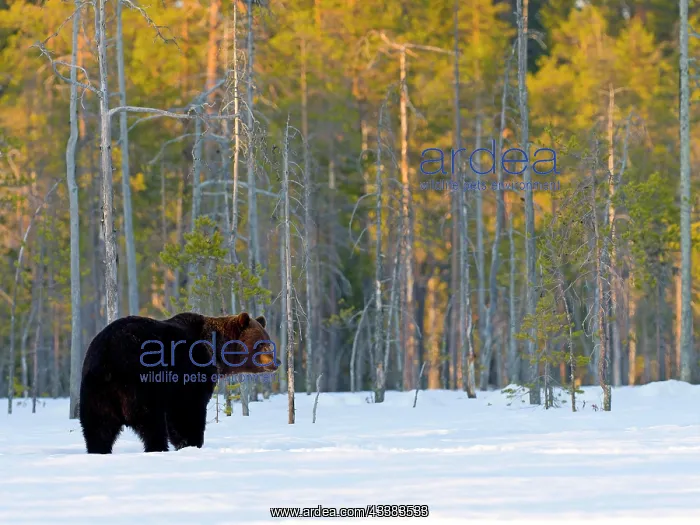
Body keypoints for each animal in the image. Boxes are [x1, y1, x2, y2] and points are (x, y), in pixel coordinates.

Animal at [79, 312, 277, 454]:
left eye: (267, 340)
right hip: (140, 383)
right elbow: (187, 412)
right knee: (151, 422)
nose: (276, 362)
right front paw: (192, 443)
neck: (215, 352)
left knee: (98, 427)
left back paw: (98, 450)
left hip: (96, 391)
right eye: (261, 343)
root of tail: (108, 357)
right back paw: (157, 447)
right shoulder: (189, 374)